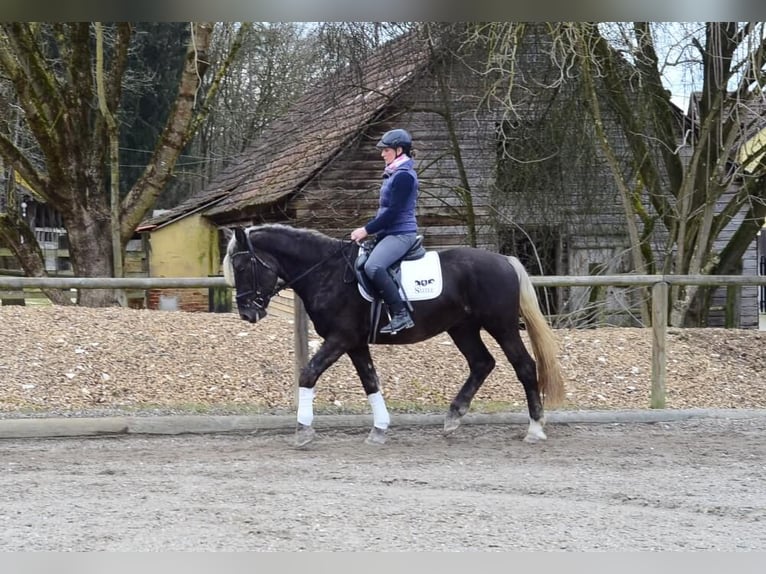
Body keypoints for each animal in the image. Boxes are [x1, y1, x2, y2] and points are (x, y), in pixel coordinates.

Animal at [222, 225, 564, 450]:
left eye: (243, 265)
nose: (247, 313)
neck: (325, 272)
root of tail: (504, 260)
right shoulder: (354, 343)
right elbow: (371, 382)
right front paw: (379, 429)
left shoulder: (340, 338)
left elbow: (308, 374)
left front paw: (303, 430)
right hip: (462, 328)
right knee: (482, 363)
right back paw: (453, 417)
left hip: (501, 326)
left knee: (524, 366)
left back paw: (535, 429)